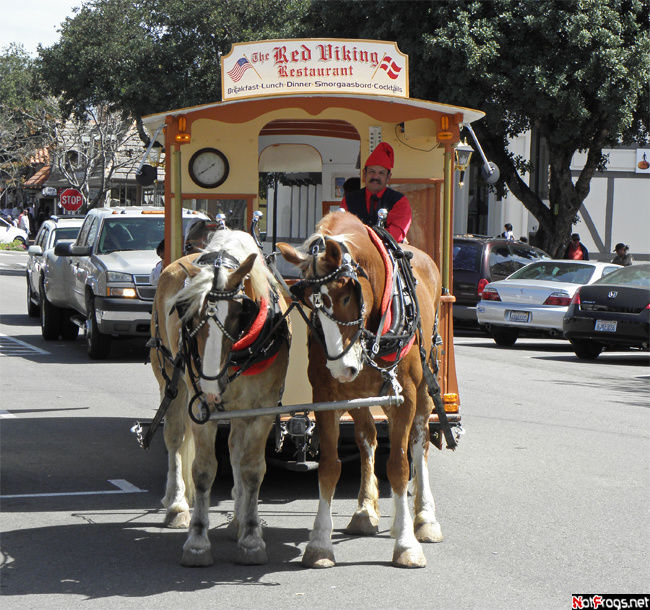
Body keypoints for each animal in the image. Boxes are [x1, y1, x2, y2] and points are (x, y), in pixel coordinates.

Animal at [276, 211, 442, 568]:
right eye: (310, 303)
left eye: (345, 297)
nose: (341, 368)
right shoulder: (325, 395)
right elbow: (329, 466)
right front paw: (320, 543)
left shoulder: (405, 396)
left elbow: (399, 467)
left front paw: (406, 544)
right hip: (361, 394)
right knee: (368, 438)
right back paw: (366, 511)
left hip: (424, 385)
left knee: (419, 442)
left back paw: (423, 518)